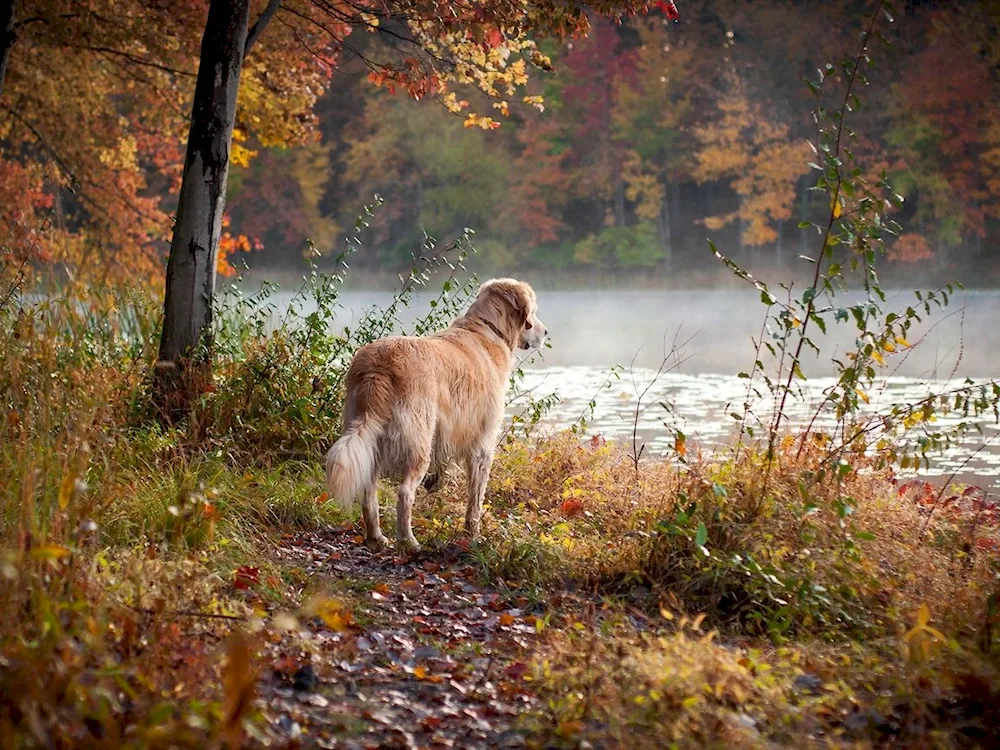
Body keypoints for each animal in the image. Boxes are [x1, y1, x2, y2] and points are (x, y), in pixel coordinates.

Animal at [326, 280, 548, 556]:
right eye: (534, 312)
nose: (546, 332)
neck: (487, 329)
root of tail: (377, 368)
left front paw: (436, 483)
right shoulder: (482, 443)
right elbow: (475, 500)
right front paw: (473, 536)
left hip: (369, 435)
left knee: (368, 491)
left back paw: (376, 537)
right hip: (418, 441)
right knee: (404, 494)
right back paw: (408, 540)